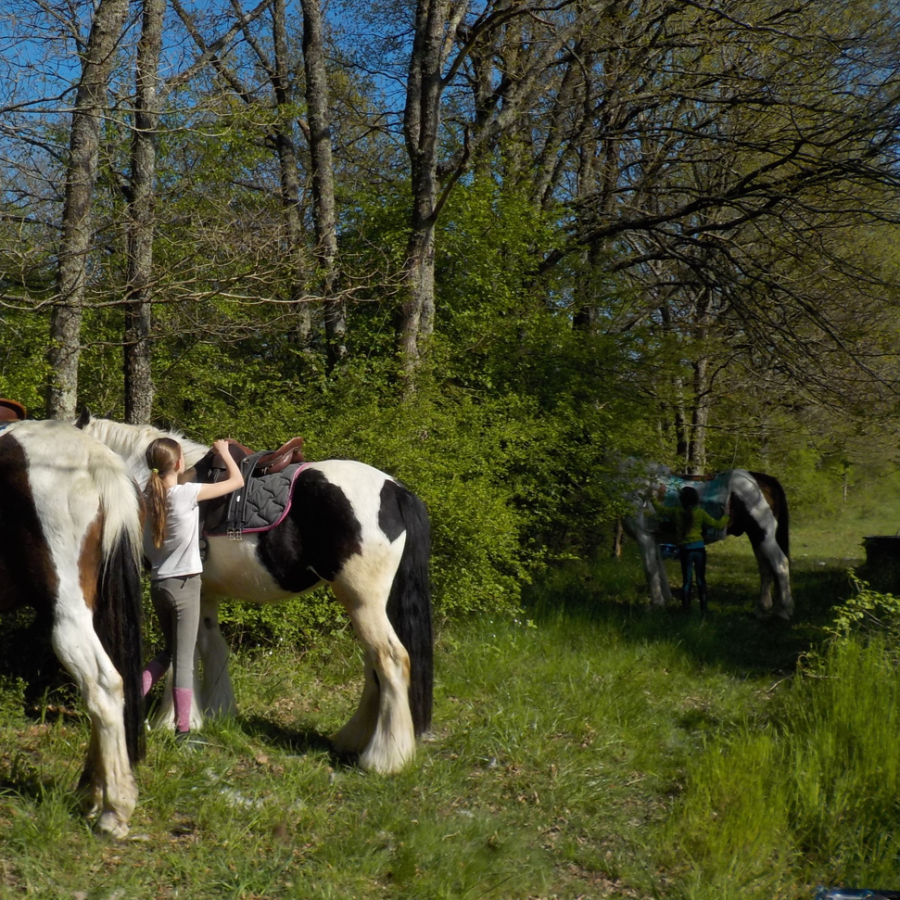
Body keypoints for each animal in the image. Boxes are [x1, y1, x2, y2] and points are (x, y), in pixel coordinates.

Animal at [75, 411, 433, 776]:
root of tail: (395, 490)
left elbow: (183, 651)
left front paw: (171, 719)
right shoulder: (204, 592)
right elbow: (210, 645)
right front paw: (217, 711)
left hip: (362, 600)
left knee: (391, 659)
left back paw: (385, 757)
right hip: (370, 604)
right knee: (374, 664)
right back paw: (354, 737)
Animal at [621, 463, 792, 619]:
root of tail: (764, 480)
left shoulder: (644, 538)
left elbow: (650, 571)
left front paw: (655, 606)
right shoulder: (655, 541)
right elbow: (660, 571)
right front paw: (666, 601)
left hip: (765, 536)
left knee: (780, 564)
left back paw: (784, 611)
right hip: (756, 538)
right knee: (765, 569)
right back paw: (762, 609)